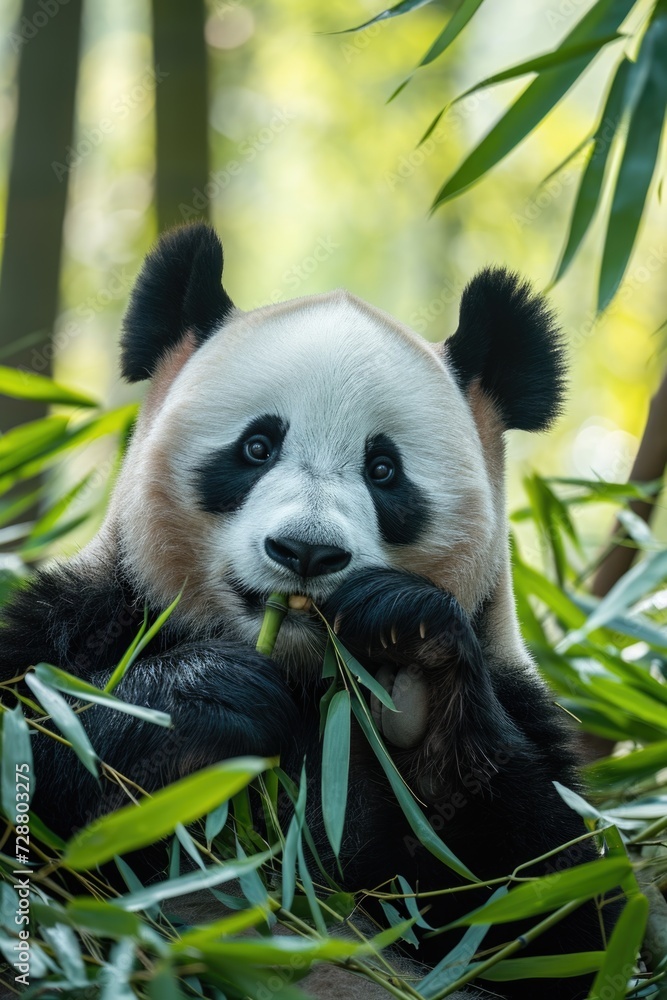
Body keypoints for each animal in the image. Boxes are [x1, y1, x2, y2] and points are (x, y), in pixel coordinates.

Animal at [0, 223, 615, 999]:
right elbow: (39, 755)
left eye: (383, 470)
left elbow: (550, 918)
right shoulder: (82, 620)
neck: (299, 671)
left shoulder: (520, 702)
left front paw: (412, 664)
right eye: (257, 446)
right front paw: (203, 698)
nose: (306, 550)